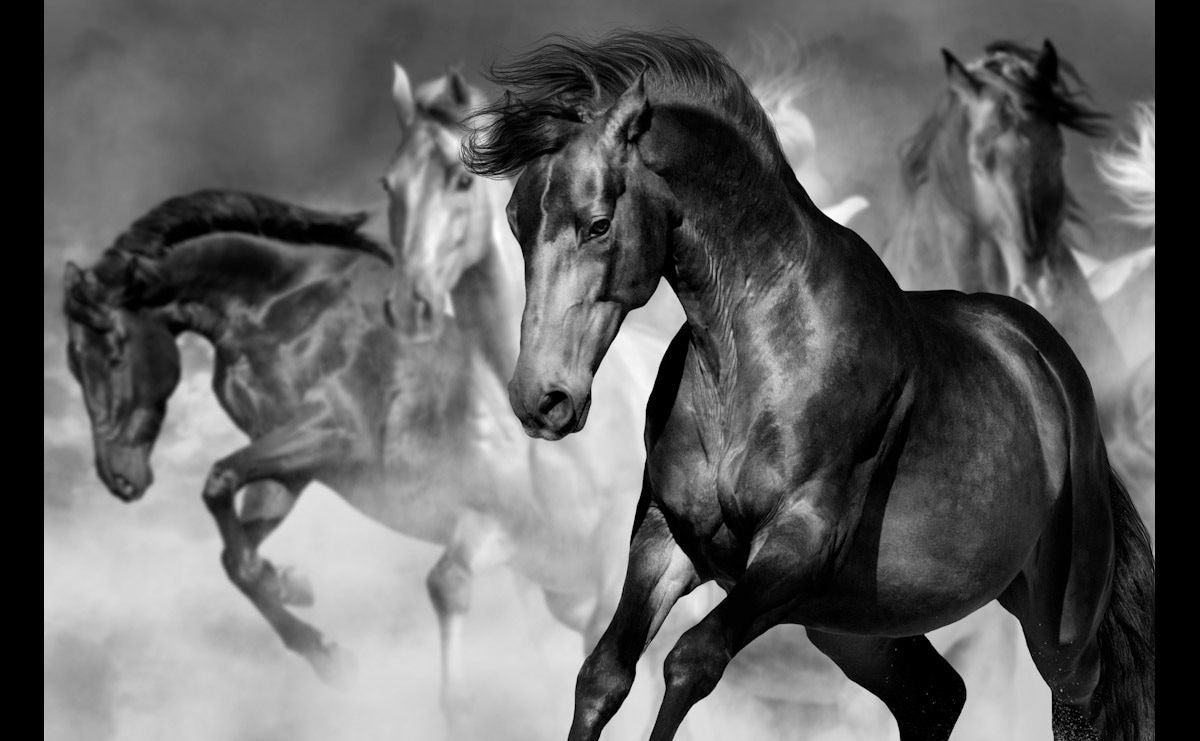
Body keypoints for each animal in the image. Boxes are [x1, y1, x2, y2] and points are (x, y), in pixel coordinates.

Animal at [61, 188, 668, 737]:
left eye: (112, 350)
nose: (119, 478)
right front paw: (313, 625)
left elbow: (219, 482)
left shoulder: (333, 433)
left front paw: (313, 626)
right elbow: (236, 554)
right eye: (73, 363)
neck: (283, 307)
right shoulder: (293, 467)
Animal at [462, 29, 1156, 741]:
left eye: (598, 223)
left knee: (1077, 702)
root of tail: (1058, 374)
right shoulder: (668, 540)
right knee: (937, 695)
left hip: (1060, 623)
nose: (541, 399)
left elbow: (692, 661)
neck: (754, 350)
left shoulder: (799, 545)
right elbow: (602, 677)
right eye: (516, 222)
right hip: (854, 624)